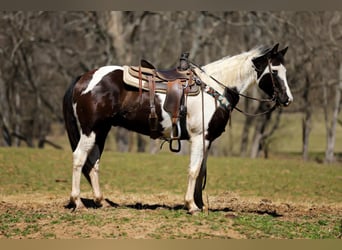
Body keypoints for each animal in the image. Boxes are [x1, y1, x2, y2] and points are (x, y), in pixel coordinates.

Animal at [62, 43, 294, 213]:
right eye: (274, 71)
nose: (287, 99)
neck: (214, 88)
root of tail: (83, 78)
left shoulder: (207, 140)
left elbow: (201, 171)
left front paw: (200, 204)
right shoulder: (199, 138)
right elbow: (194, 170)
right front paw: (191, 206)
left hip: (101, 131)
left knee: (93, 163)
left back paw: (101, 201)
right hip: (90, 131)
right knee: (79, 159)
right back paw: (78, 203)